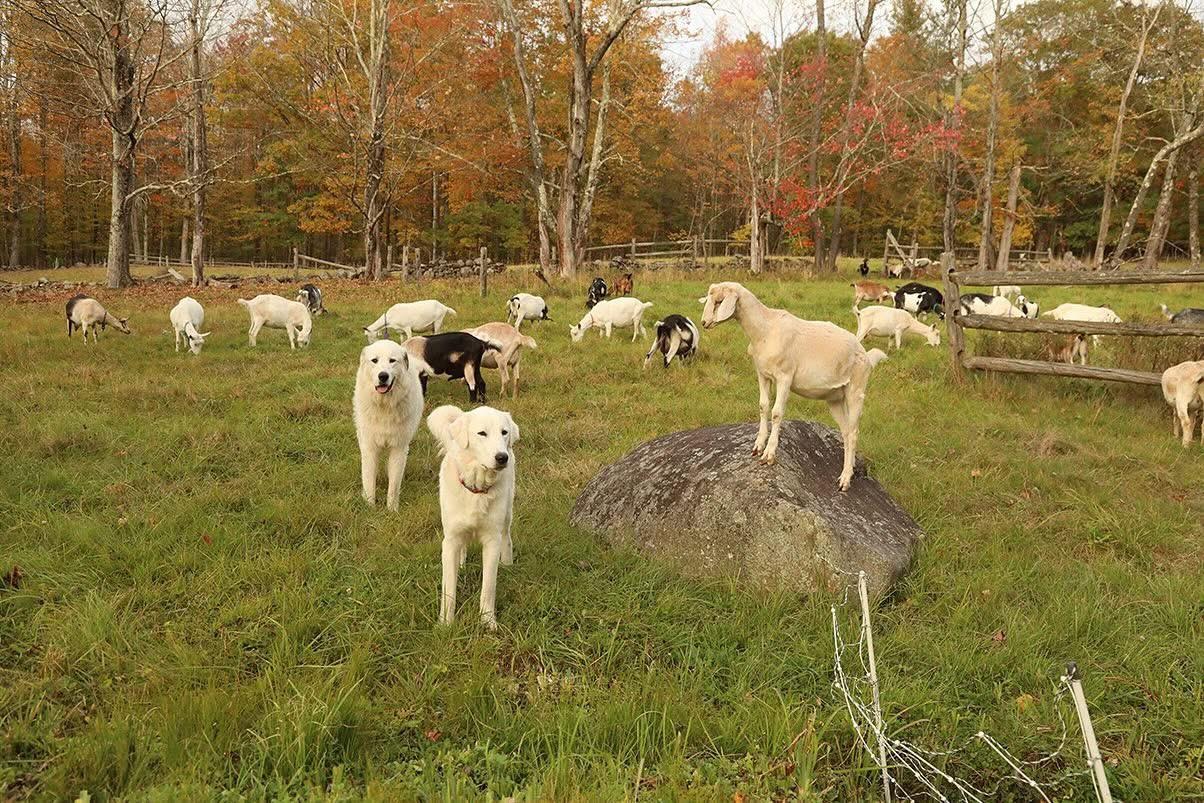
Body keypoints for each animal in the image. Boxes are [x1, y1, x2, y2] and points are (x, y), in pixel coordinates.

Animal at [699, 282, 888, 491]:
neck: (765, 329)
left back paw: (845, 479)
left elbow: (776, 413)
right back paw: (850, 468)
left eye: (719, 301)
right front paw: (758, 445)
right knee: (846, 432)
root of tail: (866, 355)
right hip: (835, 398)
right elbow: (763, 406)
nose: (704, 322)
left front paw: (769, 454)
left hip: (856, 390)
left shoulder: (785, 377)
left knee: (854, 432)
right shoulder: (763, 374)